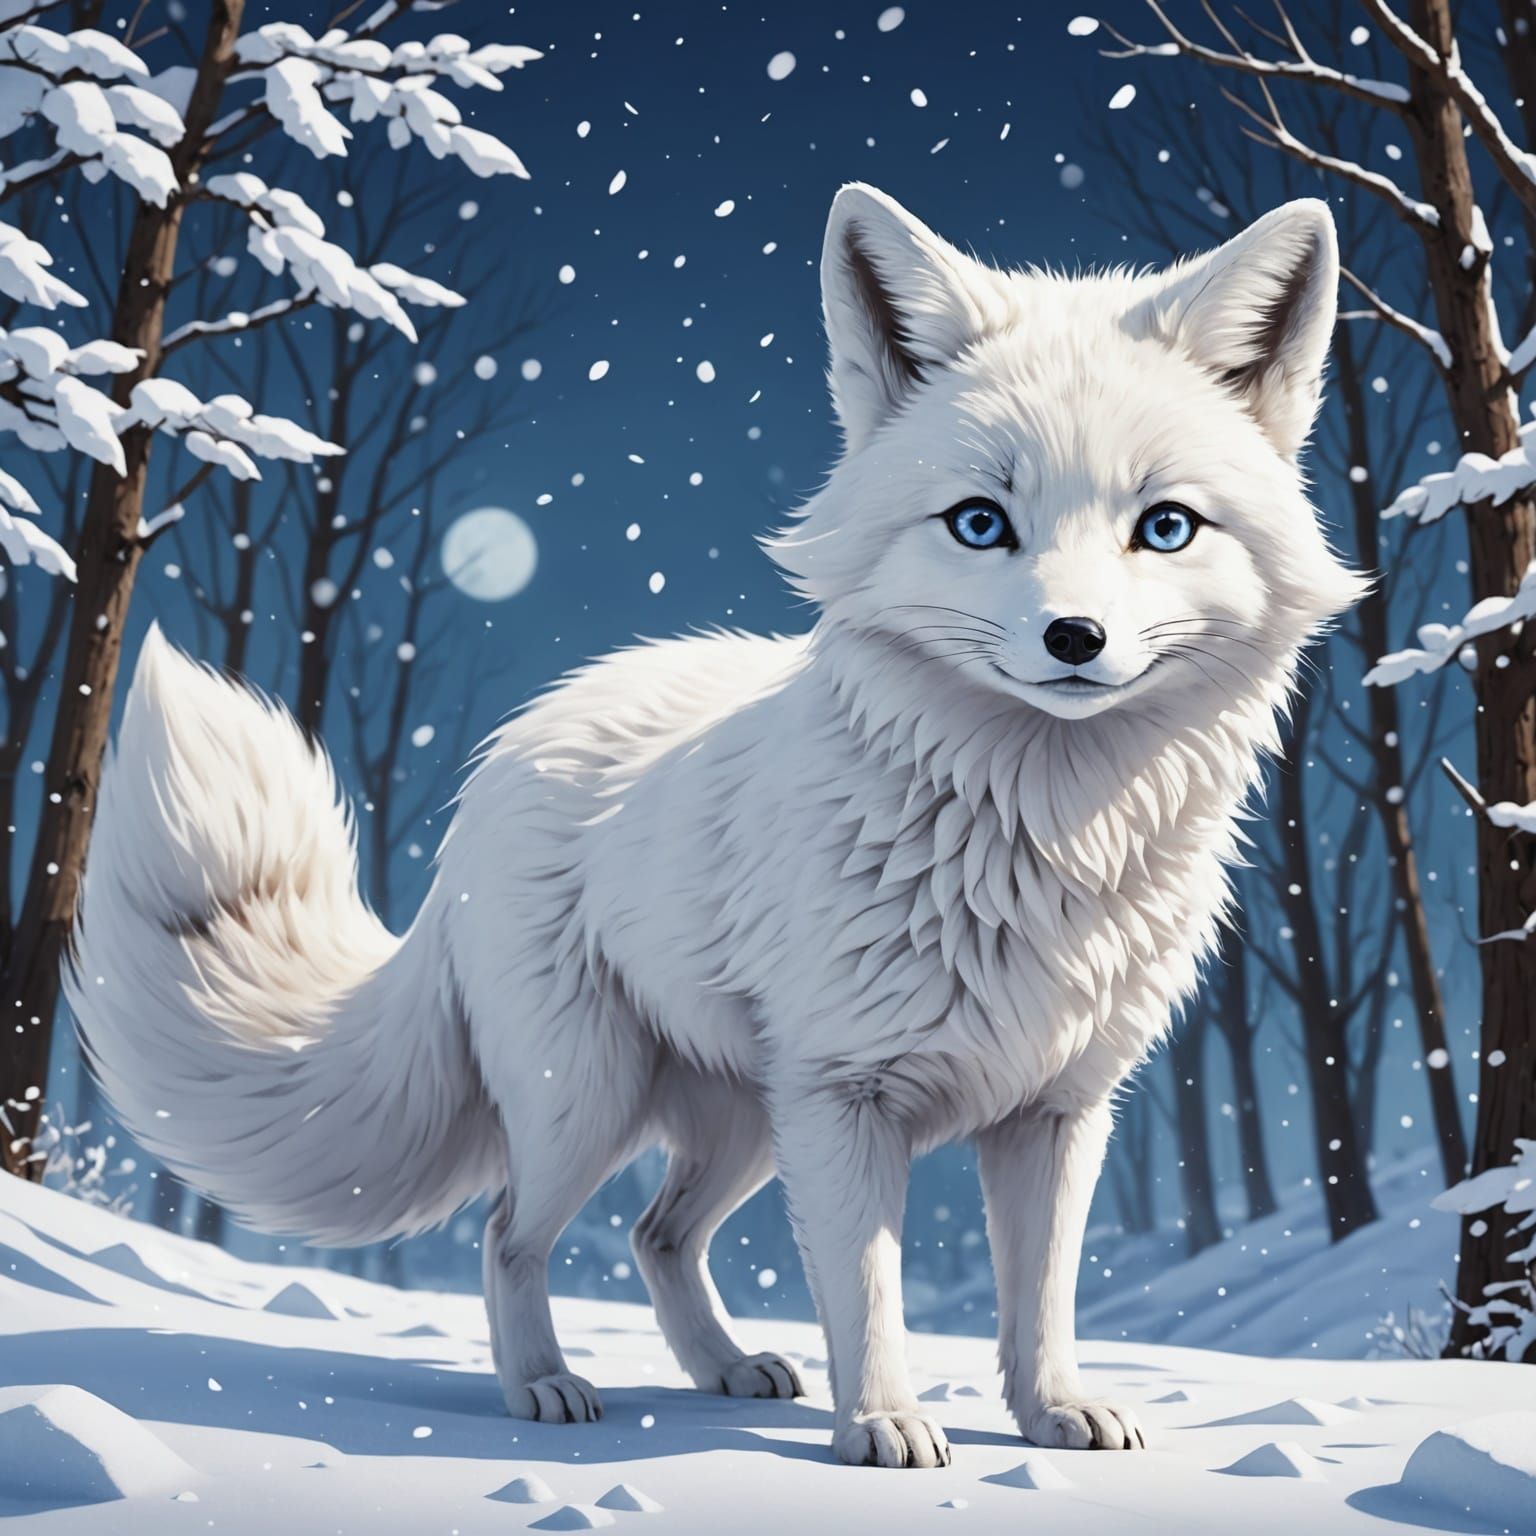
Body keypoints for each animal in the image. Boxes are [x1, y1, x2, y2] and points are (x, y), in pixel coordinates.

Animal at [69, 184, 1363, 1469]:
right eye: (981, 523)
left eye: (1167, 528)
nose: (1075, 639)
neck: (1035, 832)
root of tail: (507, 752)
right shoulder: (845, 1099)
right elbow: (870, 1288)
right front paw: (883, 1427)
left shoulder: (1057, 1111)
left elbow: (1040, 1294)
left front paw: (1053, 1414)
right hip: (590, 1103)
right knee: (508, 1230)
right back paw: (544, 1387)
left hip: (742, 1123)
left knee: (657, 1233)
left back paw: (729, 1368)